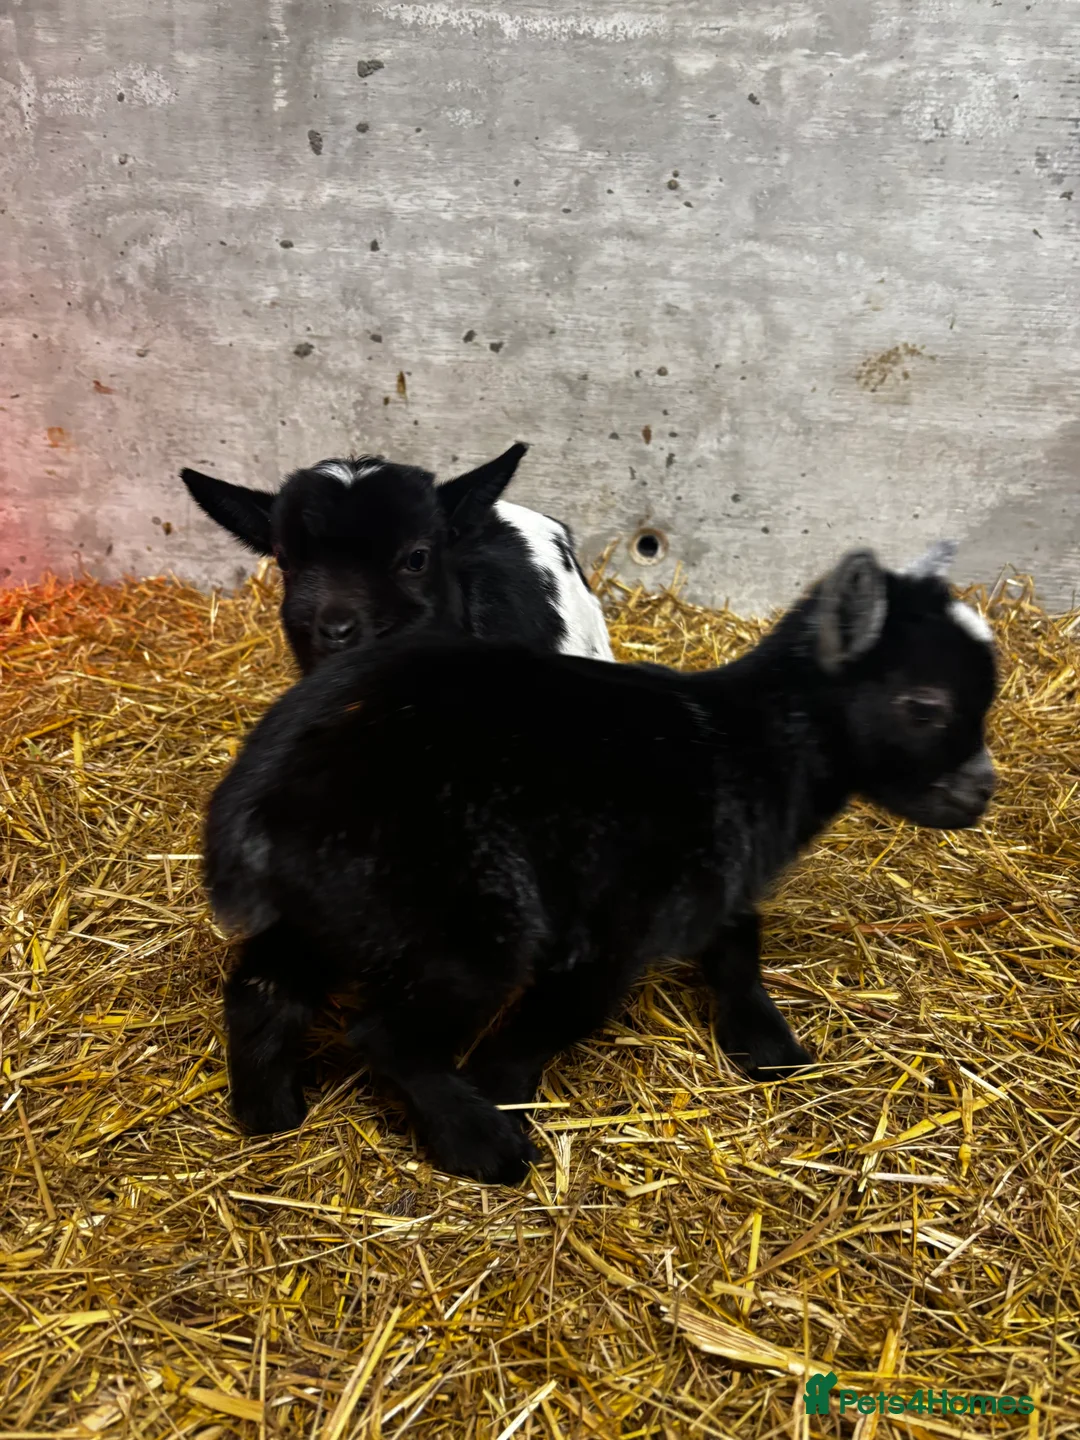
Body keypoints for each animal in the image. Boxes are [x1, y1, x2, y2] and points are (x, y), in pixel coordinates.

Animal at [204, 543, 997, 1184]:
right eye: (924, 705)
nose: (981, 790)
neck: (757, 740)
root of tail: (250, 805)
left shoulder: (713, 877)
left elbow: (737, 947)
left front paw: (766, 1046)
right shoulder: (617, 921)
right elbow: (559, 1018)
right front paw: (499, 1091)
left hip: (342, 899)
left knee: (264, 988)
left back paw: (270, 1111)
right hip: (459, 914)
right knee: (384, 1032)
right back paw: (481, 1144)